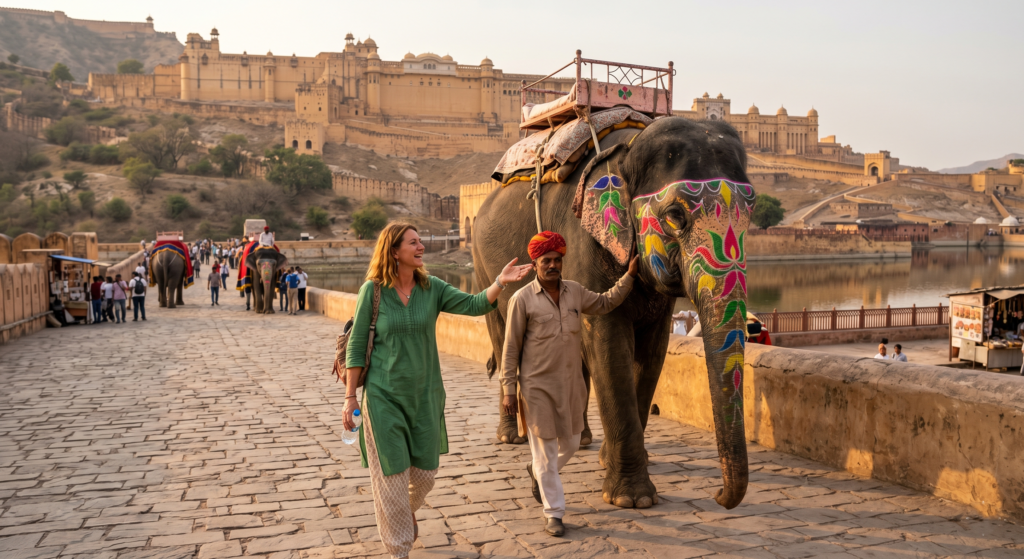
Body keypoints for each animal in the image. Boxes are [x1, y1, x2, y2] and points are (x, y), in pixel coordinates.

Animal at [472, 116, 753, 510]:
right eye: (675, 216)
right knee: (502, 338)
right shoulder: (583, 240)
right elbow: (608, 342)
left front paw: (613, 466)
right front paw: (632, 499)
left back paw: (581, 440)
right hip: (482, 264)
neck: (630, 148)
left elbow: (653, 352)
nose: (717, 495)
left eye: (752, 215)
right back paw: (512, 438)